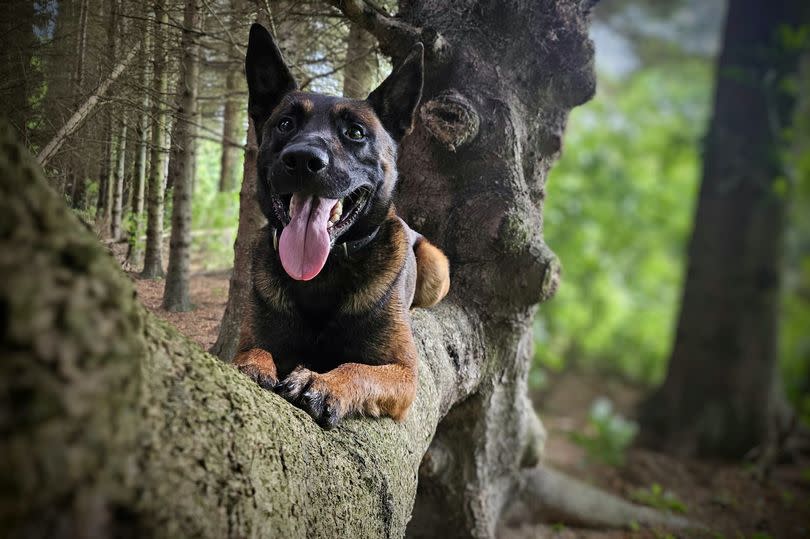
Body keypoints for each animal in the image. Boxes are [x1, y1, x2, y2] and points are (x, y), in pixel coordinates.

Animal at [230, 24, 452, 430]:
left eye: (355, 133)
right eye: (285, 124)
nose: (303, 160)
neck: (324, 274)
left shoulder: (403, 372)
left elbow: (358, 368)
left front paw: (323, 383)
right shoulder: (253, 338)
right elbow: (254, 351)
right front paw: (253, 366)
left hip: (436, 269)